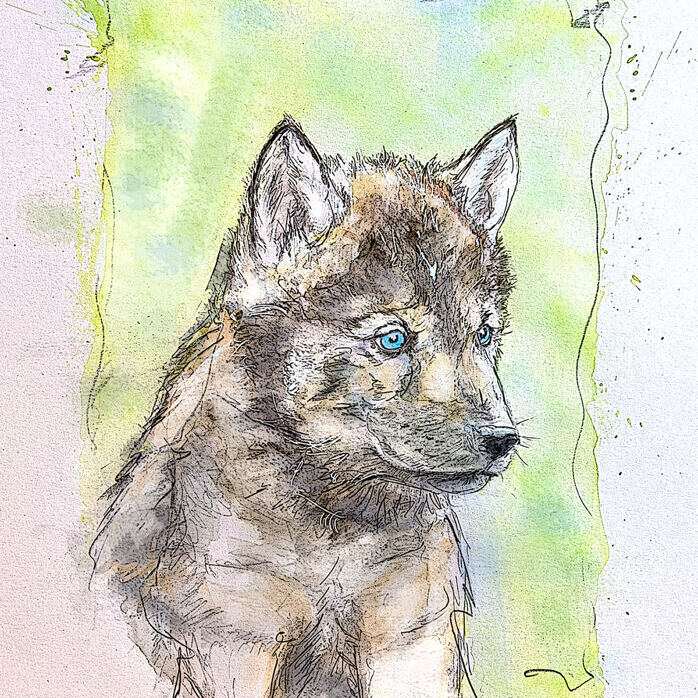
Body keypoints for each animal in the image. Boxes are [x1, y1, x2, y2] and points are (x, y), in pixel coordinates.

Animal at [90, 115, 520, 698]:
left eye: (484, 335)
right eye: (392, 339)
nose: (502, 440)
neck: (336, 539)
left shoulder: (413, 644)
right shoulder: (235, 648)